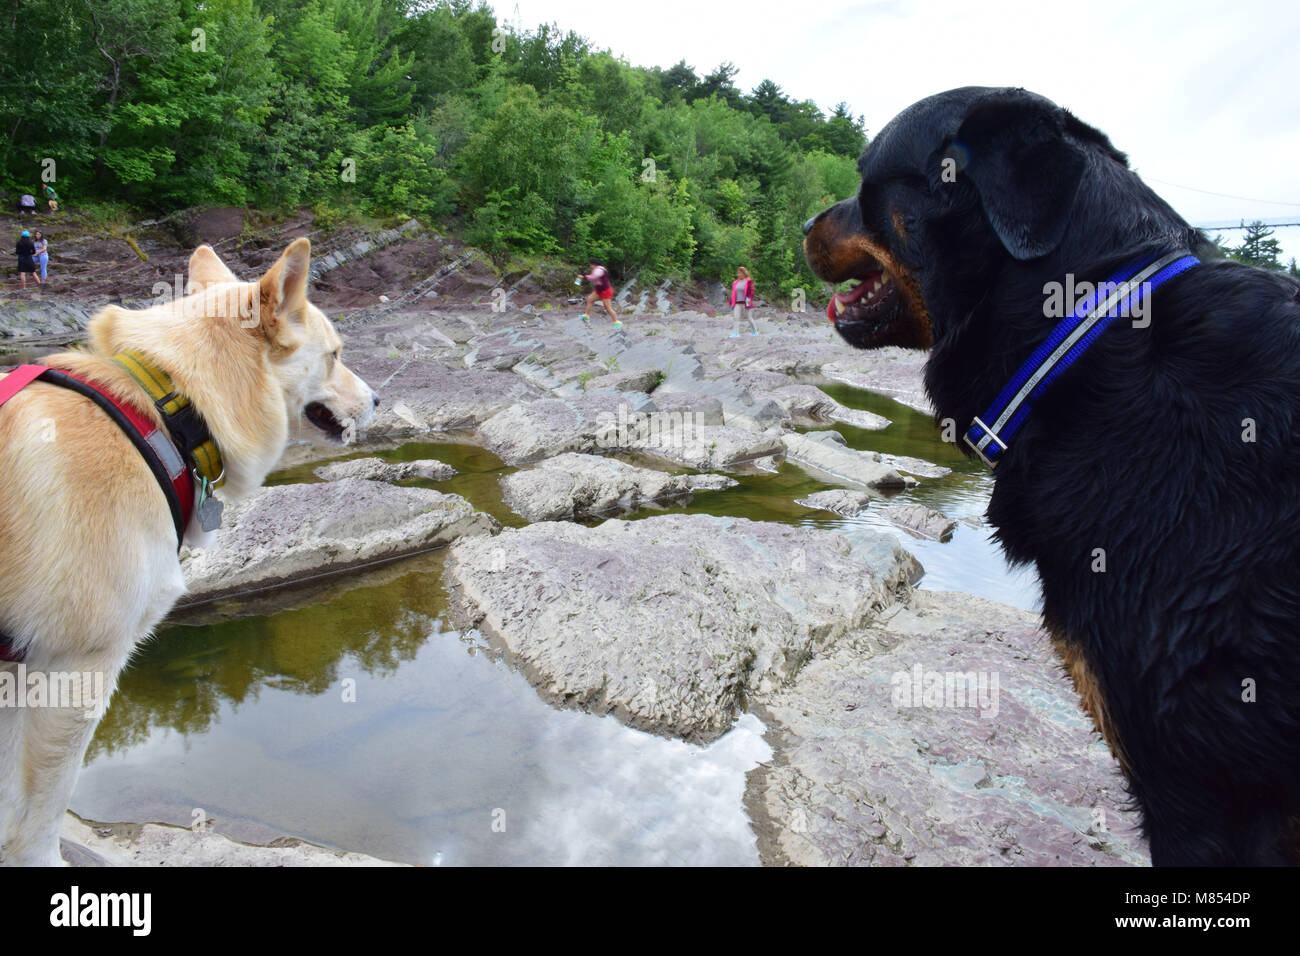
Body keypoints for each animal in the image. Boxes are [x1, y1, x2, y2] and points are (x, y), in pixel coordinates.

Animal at [0, 239, 377, 868]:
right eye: (335, 354)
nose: (379, 397)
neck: (167, 410)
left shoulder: (18, 669)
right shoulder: (76, 668)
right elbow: (39, 811)